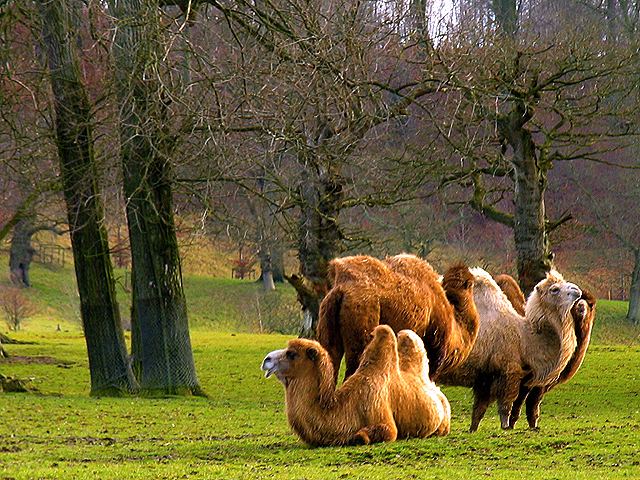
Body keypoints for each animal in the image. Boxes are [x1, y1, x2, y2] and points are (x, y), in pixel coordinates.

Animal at [261, 324, 450, 446]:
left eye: (292, 354)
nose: (266, 360)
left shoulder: (376, 404)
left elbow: (382, 432)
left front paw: (358, 437)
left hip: (444, 421)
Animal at [438, 268, 581, 432]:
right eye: (554, 289)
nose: (577, 290)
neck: (524, 338)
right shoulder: (507, 370)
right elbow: (505, 405)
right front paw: (505, 426)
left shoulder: (484, 377)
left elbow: (479, 410)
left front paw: (472, 430)